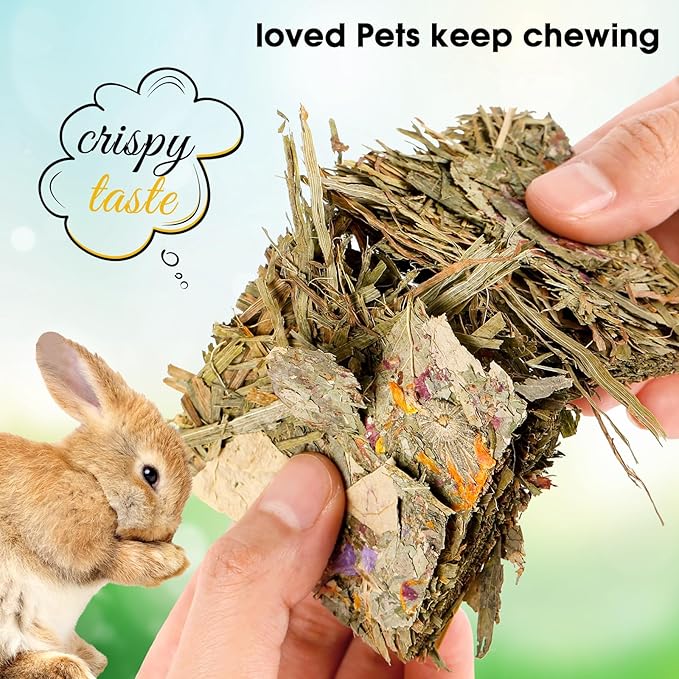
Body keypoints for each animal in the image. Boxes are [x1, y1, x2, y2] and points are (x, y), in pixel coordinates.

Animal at [0, 332, 192, 678]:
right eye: (150, 474)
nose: (166, 533)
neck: (92, 477)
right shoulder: (72, 538)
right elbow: (113, 560)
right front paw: (172, 561)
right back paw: (69, 665)